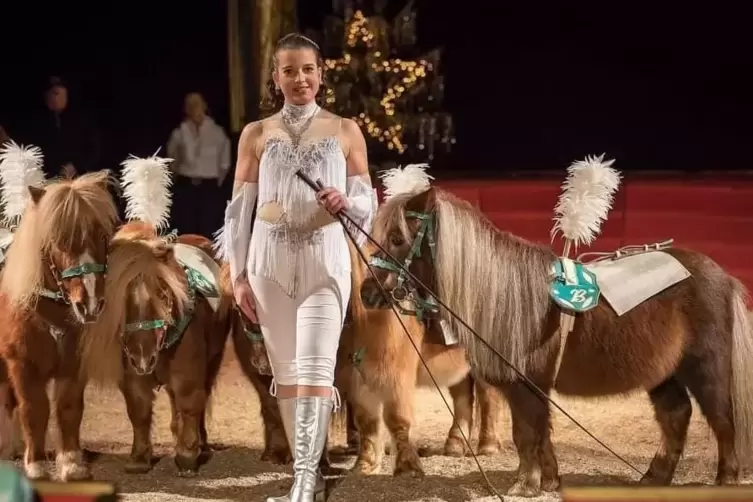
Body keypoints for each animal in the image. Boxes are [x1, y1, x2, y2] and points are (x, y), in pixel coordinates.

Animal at [0, 174, 117, 482]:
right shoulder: (22, 365)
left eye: (102, 236)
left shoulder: (74, 365)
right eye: (59, 240)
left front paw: (71, 463)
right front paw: (36, 464)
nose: (90, 303)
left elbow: (69, 408)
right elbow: (34, 409)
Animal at [78, 225, 232, 478]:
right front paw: (140, 458)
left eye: (162, 295)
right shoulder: (133, 379)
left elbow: (190, 403)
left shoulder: (187, 375)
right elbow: (139, 410)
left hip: (214, 359)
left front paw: (187, 456)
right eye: (121, 300)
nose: (142, 358)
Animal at [334, 241, 500, 476]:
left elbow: (397, 416)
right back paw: (456, 443)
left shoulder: (396, 375)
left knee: (488, 395)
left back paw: (488, 445)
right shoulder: (358, 376)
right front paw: (365, 466)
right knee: (462, 394)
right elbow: (366, 421)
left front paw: (407, 467)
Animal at [362, 185, 752, 498]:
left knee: (722, 420)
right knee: (676, 416)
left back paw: (726, 480)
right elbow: (538, 433)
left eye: (397, 238)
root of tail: (722, 276)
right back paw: (653, 478)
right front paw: (547, 481)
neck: (503, 291)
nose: (367, 292)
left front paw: (525, 484)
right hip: (662, 374)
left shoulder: (527, 384)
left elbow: (527, 433)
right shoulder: (529, 387)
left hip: (707, 369)